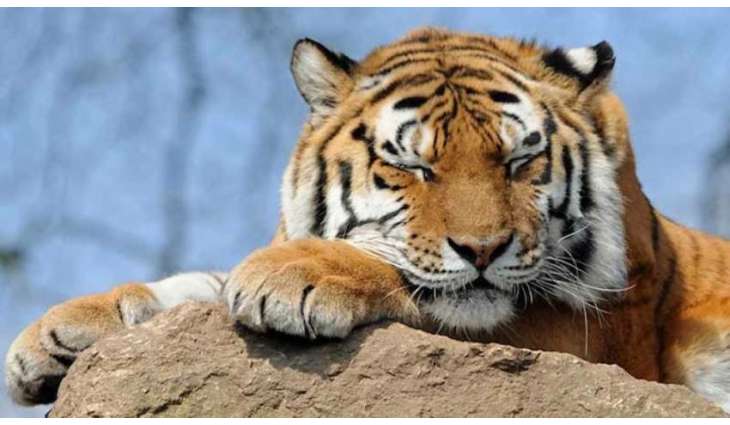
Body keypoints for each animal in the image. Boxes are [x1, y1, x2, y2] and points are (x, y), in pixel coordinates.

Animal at [6, 27, 730, 413]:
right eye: (412, 165)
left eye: (520, 160)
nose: (484, 249)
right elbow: (198, 284)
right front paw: (52, 336)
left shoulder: (589, 331)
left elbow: (407, 279)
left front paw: (291, 276)